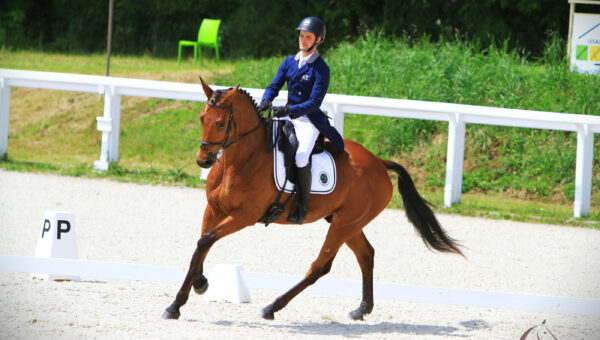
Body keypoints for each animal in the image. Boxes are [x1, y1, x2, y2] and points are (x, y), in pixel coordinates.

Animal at [163, 79, 464, 322]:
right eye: (202, 118)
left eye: (221, 123)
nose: (203, 161)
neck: (240, 161)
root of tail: (379, 162)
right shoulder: (213, 209)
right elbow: (201, 245)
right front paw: (192, 289)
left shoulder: (244, 217)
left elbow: (206, 241)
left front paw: (183, 298)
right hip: (348, 222)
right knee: (366, 255)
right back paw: (362, 309)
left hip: (344, 224)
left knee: (320, 265)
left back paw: (272, 307)